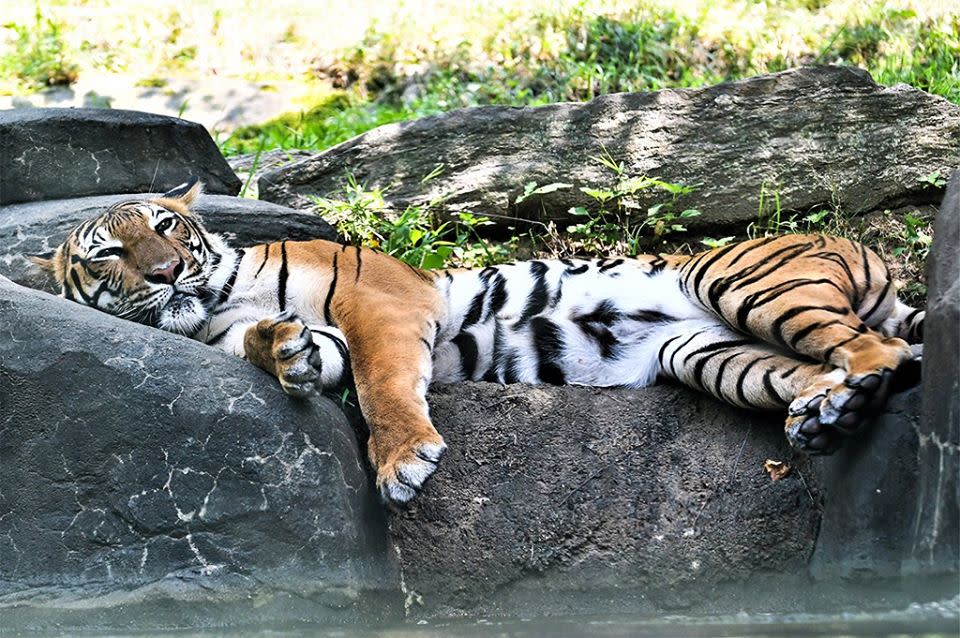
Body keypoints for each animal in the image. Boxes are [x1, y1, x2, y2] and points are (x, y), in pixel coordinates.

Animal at [30, 179, 924, 504]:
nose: (169, 270)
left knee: (880, 351)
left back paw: (841, 399)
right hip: (709, 354)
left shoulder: (377, 302)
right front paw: (284, 352)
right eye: (109, 254)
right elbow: (295, 349)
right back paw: (826, 413)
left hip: (740, 279)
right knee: (844, 364)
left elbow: (383, 387)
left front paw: (402, 460)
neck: (218, 296)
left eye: (166, 226)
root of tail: (864, 249)